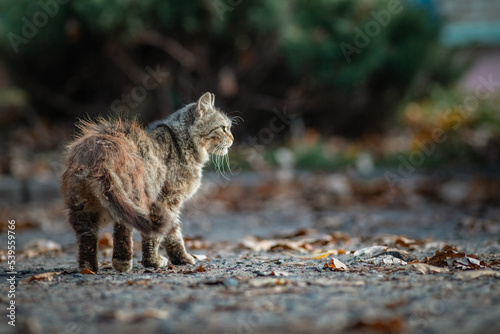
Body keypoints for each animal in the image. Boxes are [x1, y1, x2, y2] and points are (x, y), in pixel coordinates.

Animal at [60, 92, 234, 272]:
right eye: (223, 128)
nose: (233, 138)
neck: (182, 143)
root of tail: (99, 150)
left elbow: (168, 234)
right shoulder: (167, 201)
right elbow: (167, 235)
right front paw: (164, 260)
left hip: (83, 208)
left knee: (86, 237)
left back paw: (88, 268)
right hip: (132, 198)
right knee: (123, 229)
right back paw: (122, 262)